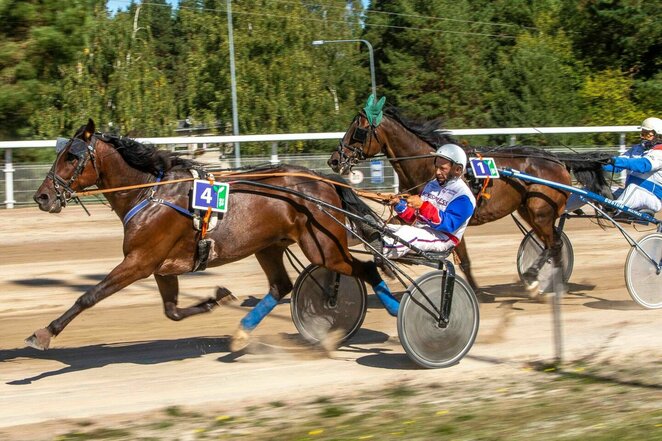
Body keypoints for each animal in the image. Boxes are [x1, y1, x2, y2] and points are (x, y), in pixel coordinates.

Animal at [29, 119, 390, 350]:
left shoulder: (139, 261)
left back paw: (394, 311)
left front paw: (44, 333)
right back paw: (242, 334)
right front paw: (217, 298)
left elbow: (88, 296)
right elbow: (172, 311)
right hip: (269, 245)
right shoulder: (160, 267)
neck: (149, 192)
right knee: (281, 286)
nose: (42, 196)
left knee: (366, 268)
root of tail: (323, 180)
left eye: (71, 156)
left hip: (323, 247)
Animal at [330, 102, 616, 300]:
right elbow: (387, 230)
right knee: (552, 244)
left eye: (358, 130)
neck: (429, 165)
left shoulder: (453, 221)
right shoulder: (412, 214)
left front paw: (476, 293)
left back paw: (537, 279)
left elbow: (463, 259)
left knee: (553, 245)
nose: (334, 159)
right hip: (529, 210)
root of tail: (556, 159)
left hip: (540, 211)